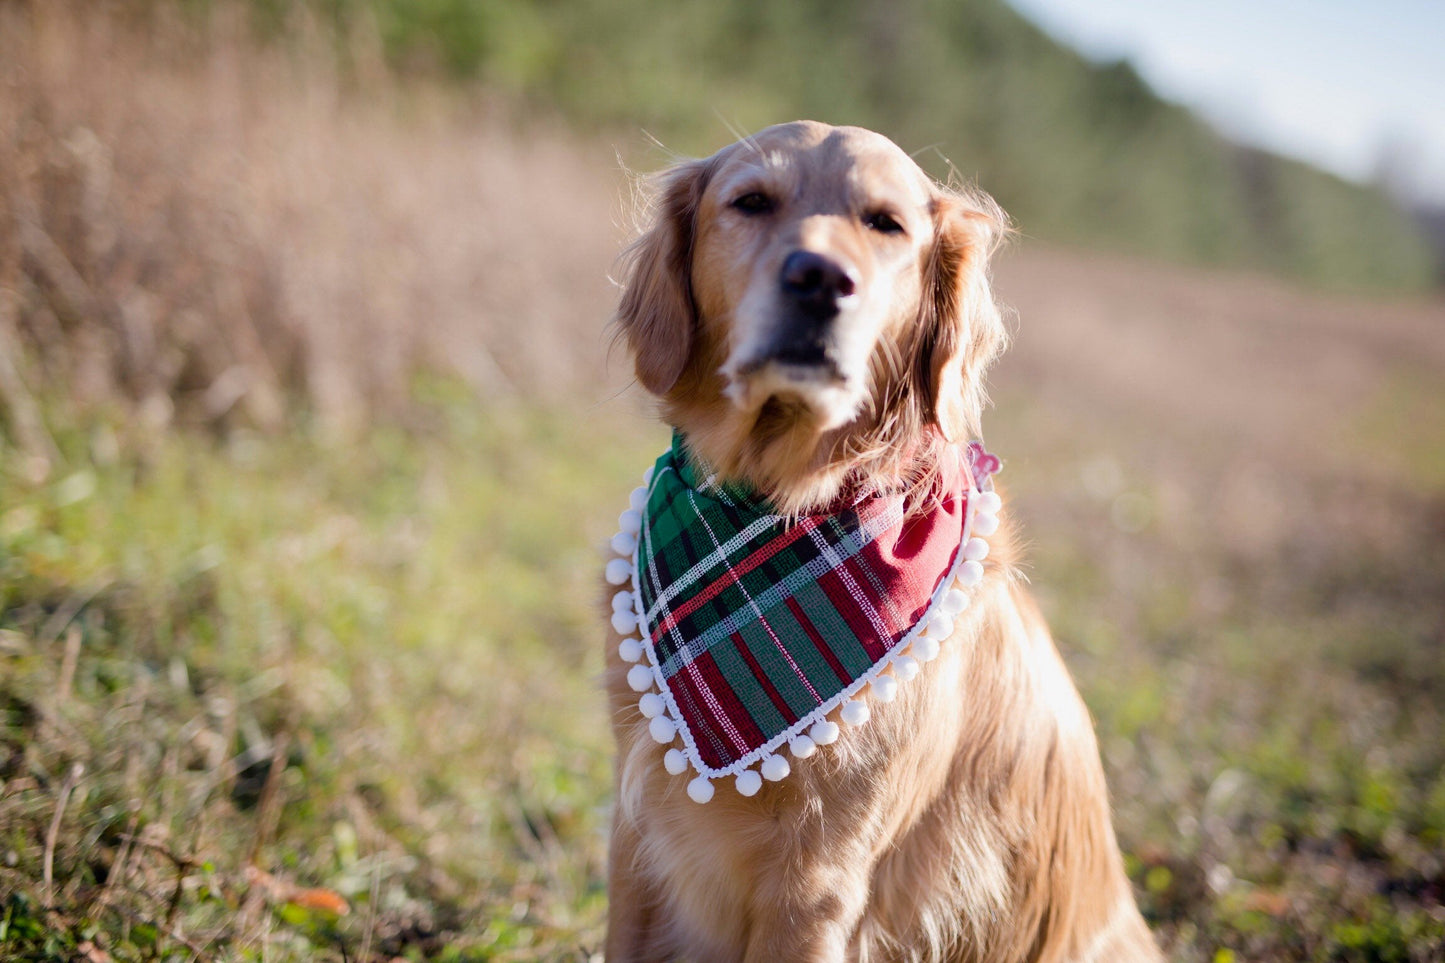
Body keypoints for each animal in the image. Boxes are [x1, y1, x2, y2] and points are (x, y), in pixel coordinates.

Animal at [604, 122, 1156, 960]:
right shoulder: (637, 839)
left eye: (885, 224)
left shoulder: (816, 884)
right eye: (750, 202)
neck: (779, 499)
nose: (818, 279)